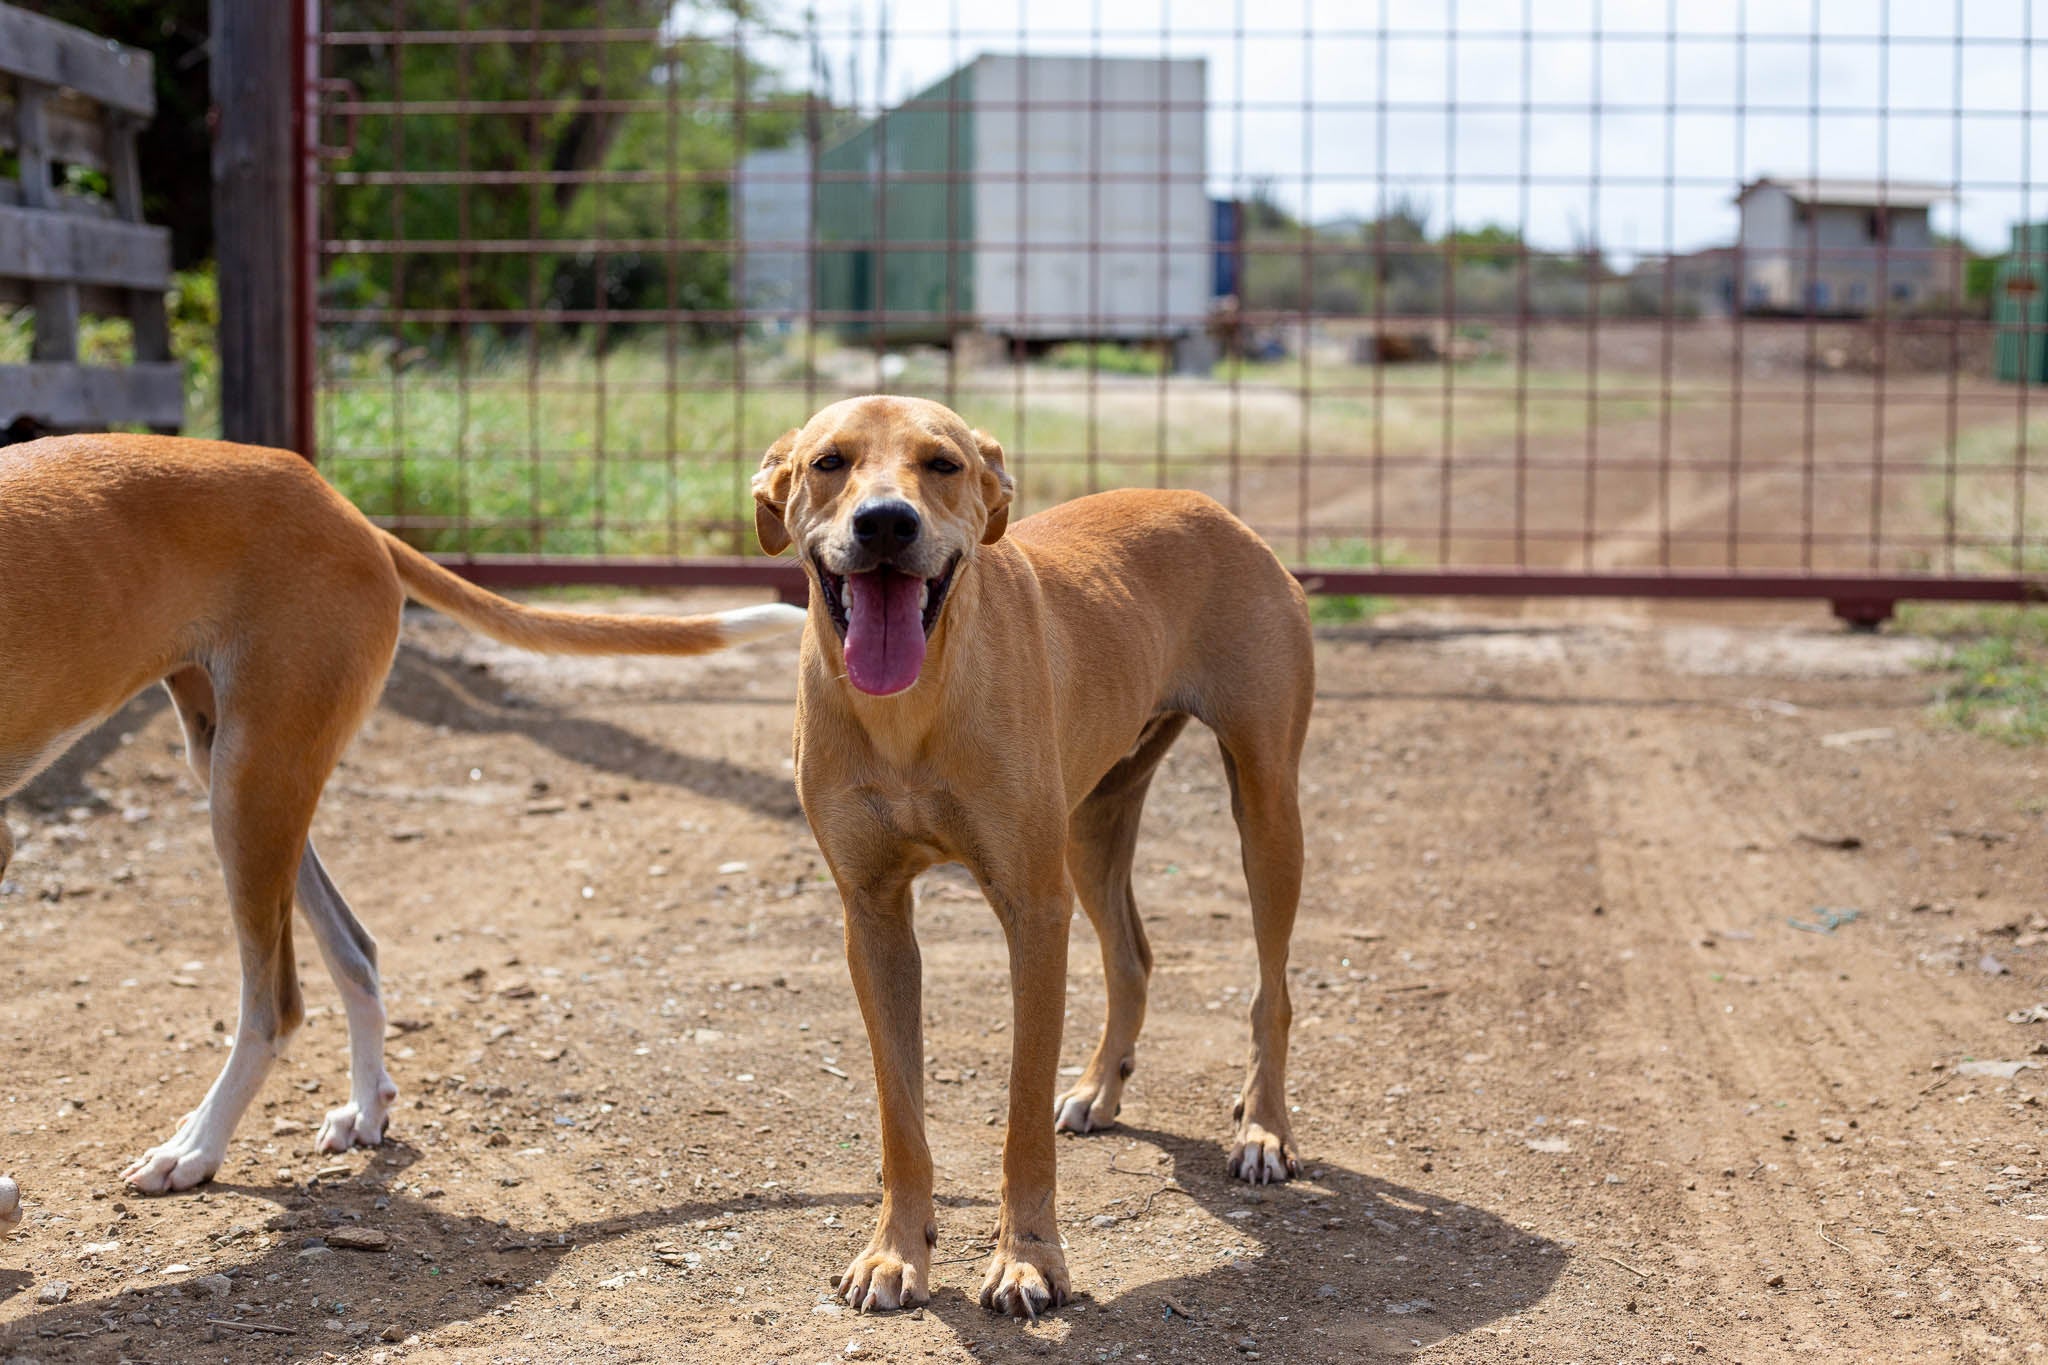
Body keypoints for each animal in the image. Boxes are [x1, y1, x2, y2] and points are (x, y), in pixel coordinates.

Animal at [0, 435, 798, 1195]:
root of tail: (349, 512)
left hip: (250, 779)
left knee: (276, 1005)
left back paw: (195, 1148)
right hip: (242, 769)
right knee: (355, 949)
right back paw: (362, 1106)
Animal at [753, 397, 1310, 1326]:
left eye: (941, 464)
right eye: (829, 462)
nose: (885, 522)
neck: (912, 709)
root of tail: (1209, 505)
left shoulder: (1034, 909)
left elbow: (1017, 1112)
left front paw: (1029, 1262)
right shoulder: (873, 915)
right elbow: (899, 1112)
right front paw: (894, 1252)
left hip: (1265, 806)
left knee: (1272, 989)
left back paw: (1264, 1130)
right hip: (1094, 822)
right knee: (1133, 955)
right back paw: (1099, 1086)